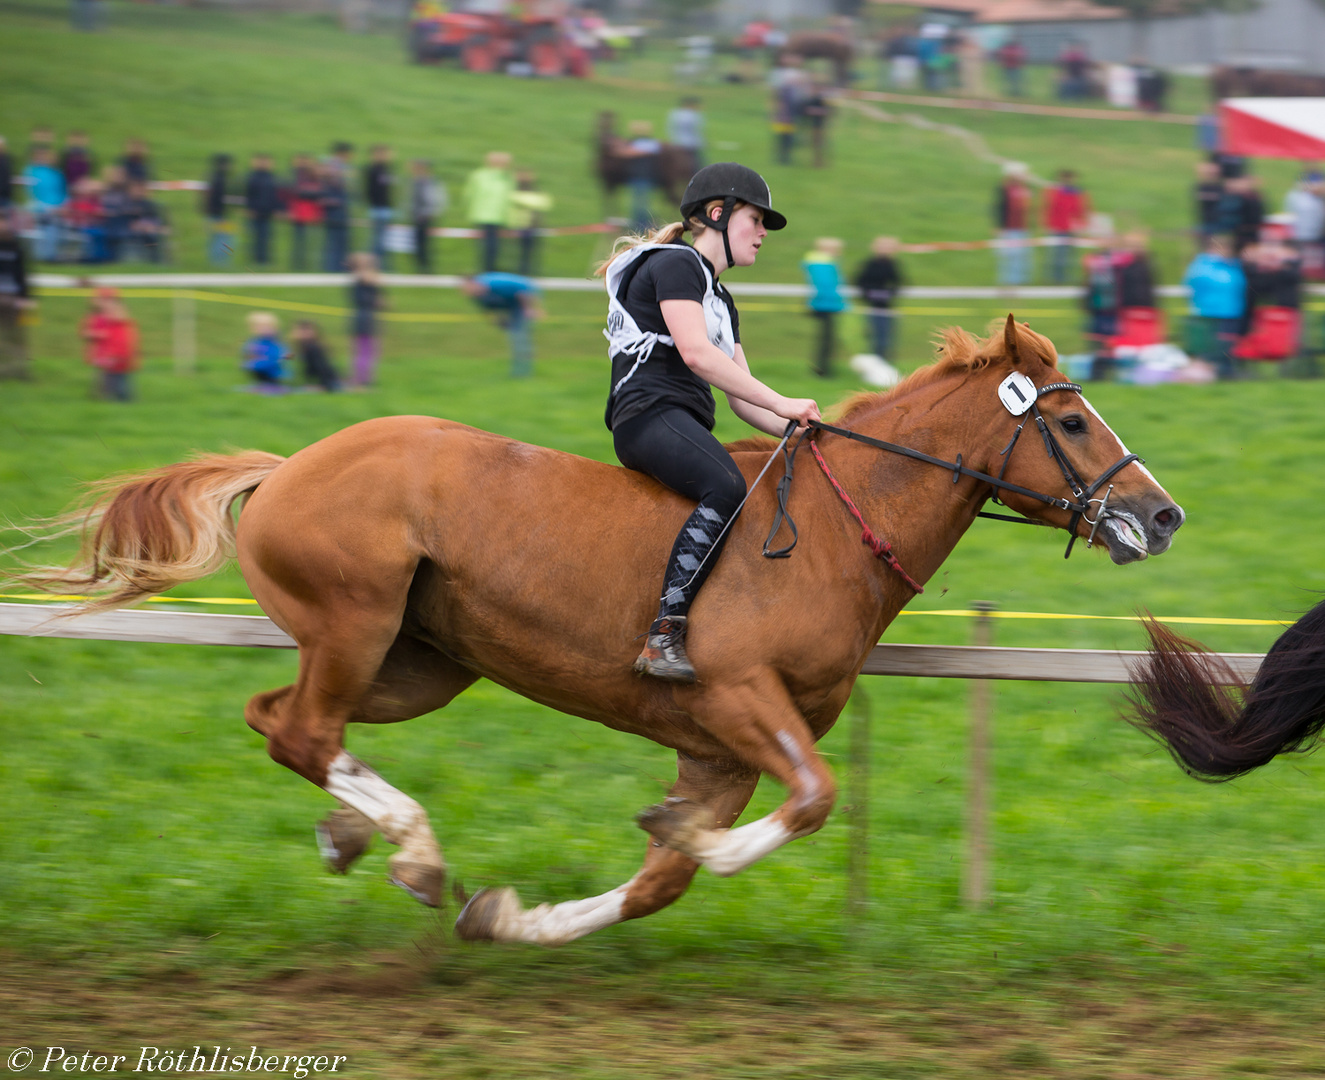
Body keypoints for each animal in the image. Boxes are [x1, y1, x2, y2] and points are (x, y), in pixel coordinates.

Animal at [20, 319, 1181, 943]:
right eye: (1068, 421)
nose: (1160, 515)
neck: (832, 533)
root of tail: (288, 465)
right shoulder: (737, 701)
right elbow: (809, 802)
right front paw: (684, 840)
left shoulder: (719, 750)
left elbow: (663, 881)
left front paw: (513, 919)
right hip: (355, 624)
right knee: (304, 728)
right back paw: (412, 850)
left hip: (418, 664)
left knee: (281, 719)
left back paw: (362, 836)